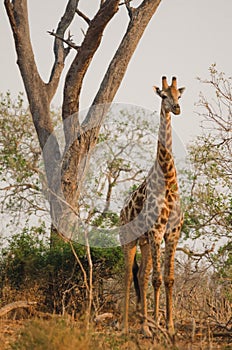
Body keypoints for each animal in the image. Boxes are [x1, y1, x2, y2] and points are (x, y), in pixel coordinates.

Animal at [120, 76, 186, 336]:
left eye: (179, 95)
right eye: (163, 95)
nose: (176, 108)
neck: (167, 179)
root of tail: (121, 212)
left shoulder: (172, 233)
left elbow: (168, 279)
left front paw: (168, 326)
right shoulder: (157, 231)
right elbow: (157, 279)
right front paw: (159, 326)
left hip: (145, 243)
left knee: (142, 275)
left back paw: (144, 325)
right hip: (128, 240)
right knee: (128, 276)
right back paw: (125, 325)